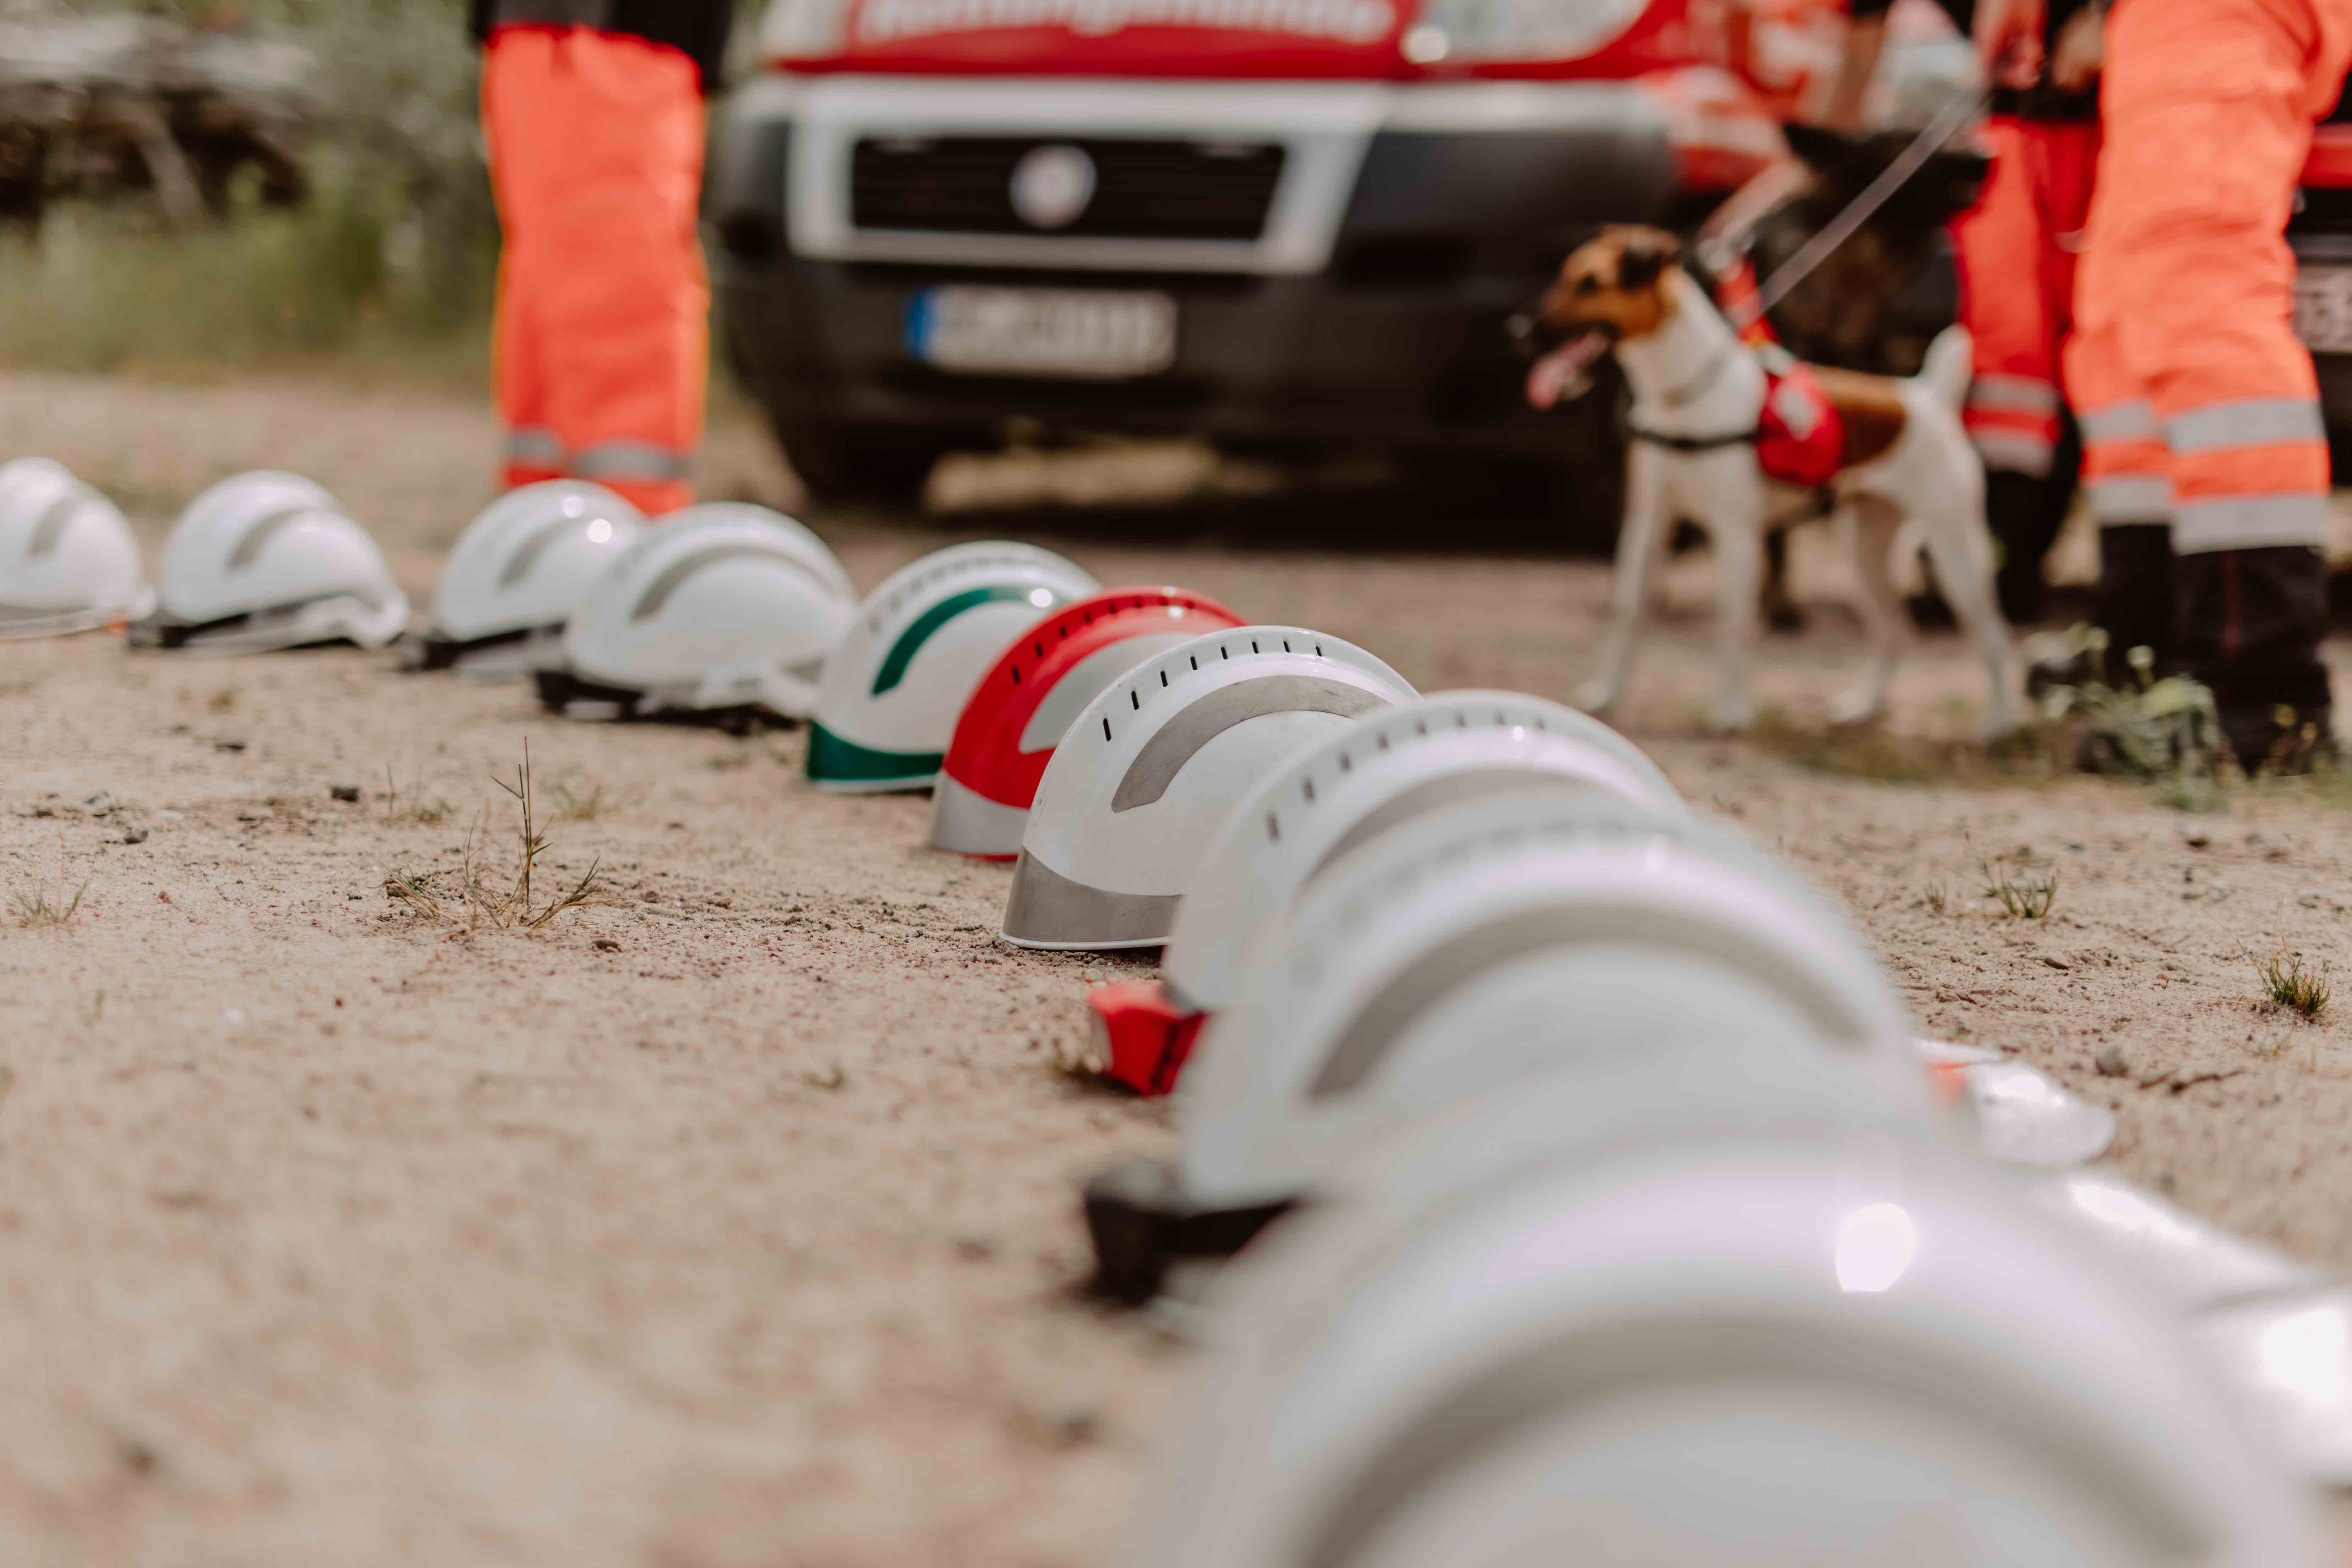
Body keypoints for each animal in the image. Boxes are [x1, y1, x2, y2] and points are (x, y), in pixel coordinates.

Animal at [1533, 223, 2013, 738]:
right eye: (1564, 276)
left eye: (1590, 284)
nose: (1520, 330)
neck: (1680, 396)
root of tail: (1924, 397)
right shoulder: (1649, 526)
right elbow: (1628, 613)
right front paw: (1605, 694)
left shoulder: (1736, 535)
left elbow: (1733, 625)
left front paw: (1729, 712)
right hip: (1864, 554)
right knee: (1896, 634)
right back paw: (1863, 708)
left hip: (1956, 558)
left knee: (1993, 639)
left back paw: (1997, 724)